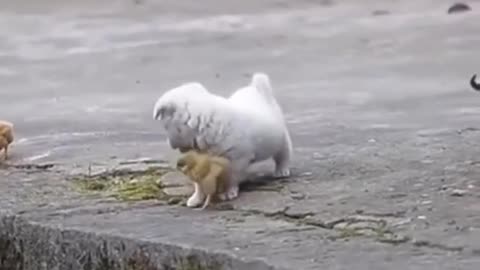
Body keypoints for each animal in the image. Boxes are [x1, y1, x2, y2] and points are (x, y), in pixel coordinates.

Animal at [154, 73, 292, 208]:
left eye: (166, 127)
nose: (169, 143)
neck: (206, 125)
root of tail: (256, 88)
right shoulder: (200, 162)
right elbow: (199, 182)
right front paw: (196, 198)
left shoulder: (237, 160)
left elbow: (231, 177)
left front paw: (228, 192)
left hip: (280, 139)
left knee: (283, 154)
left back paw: (282, 170)